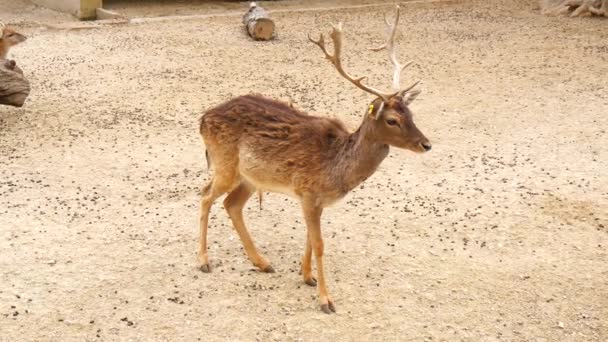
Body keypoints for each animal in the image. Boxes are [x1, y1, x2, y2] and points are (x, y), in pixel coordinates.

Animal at [197, 6, 430, 316]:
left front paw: (307, 277)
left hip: (251, 177)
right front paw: (325, 300)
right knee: (205, 196)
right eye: (392, 120)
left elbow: (309, 237)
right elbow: (319, 243)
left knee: (231, 205)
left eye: (412, 114)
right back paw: (204, 261)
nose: (426, 144)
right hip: (225, 164)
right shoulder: (307, 191)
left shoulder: (314, 200)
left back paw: (263, 262)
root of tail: (203, 119)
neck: (337, 170)